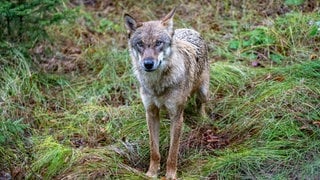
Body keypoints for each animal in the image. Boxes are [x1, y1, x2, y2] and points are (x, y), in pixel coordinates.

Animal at [124, 6, 209, 179]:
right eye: (140, 44)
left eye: (158, 43)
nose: (148, 64)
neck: (157, 84)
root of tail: (190, 30)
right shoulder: (151, 113)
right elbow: (154, 150)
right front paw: (151, 173)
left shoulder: (176, 117)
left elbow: (172, 152)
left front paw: (170, 175)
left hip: (203, 92)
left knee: (201, 104)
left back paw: (203, 119)